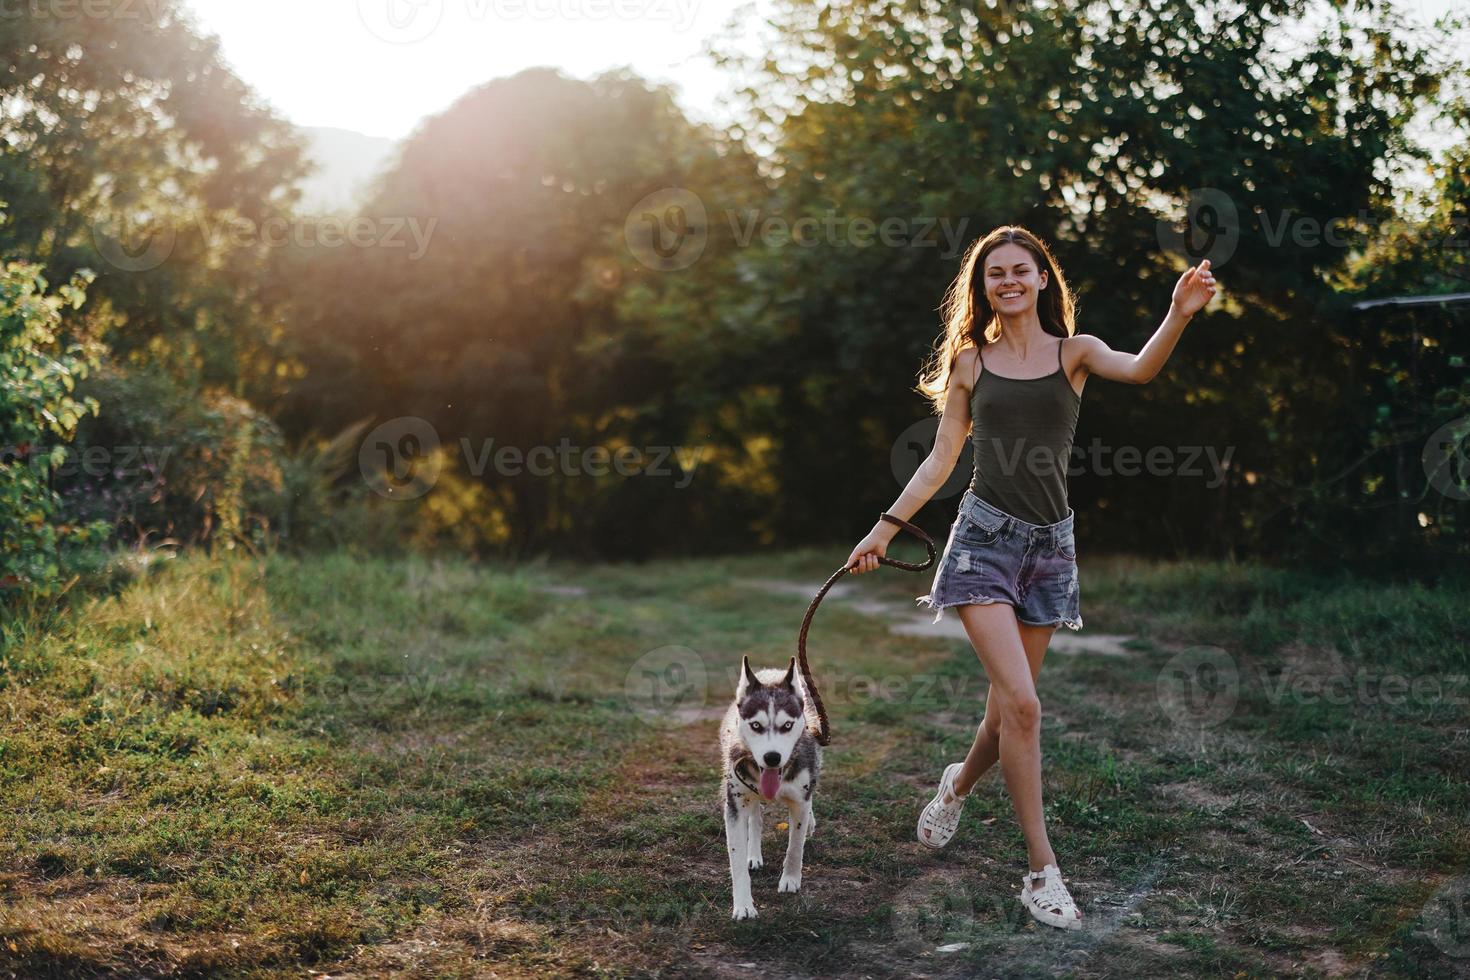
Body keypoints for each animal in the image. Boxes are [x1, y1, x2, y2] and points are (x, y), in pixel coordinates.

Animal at [717, 658, 823, 922]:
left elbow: (795, 846)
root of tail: (772, 671)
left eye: (787, 725)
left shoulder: (800, 801)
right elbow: (736, 860)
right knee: (755, 819)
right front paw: (743, 905)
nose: (772, 757)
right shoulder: (734, 806)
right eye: (756, 725)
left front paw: (790, 880)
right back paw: (754, 855)